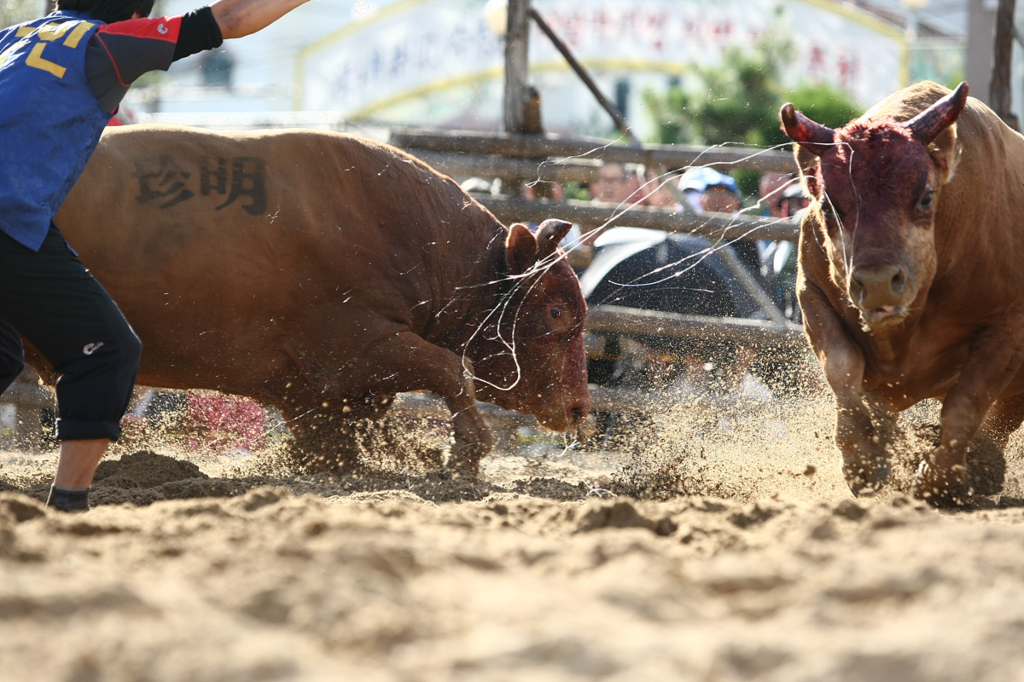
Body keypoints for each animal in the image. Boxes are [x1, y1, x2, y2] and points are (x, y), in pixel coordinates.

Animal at [46, 123, 593, 473]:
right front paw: (464, 454)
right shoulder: (355, 346)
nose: (580, 409)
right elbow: (448, 369)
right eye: (556, 311)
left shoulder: (308, 388)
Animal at [778, 80, 1024, 503]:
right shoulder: (811, 291)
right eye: (827, 205)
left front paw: (939, 479)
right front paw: (863, 460)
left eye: (925, 196)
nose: (877, 282)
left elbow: (966, 403)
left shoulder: (1008, 325)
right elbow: (843, 366)